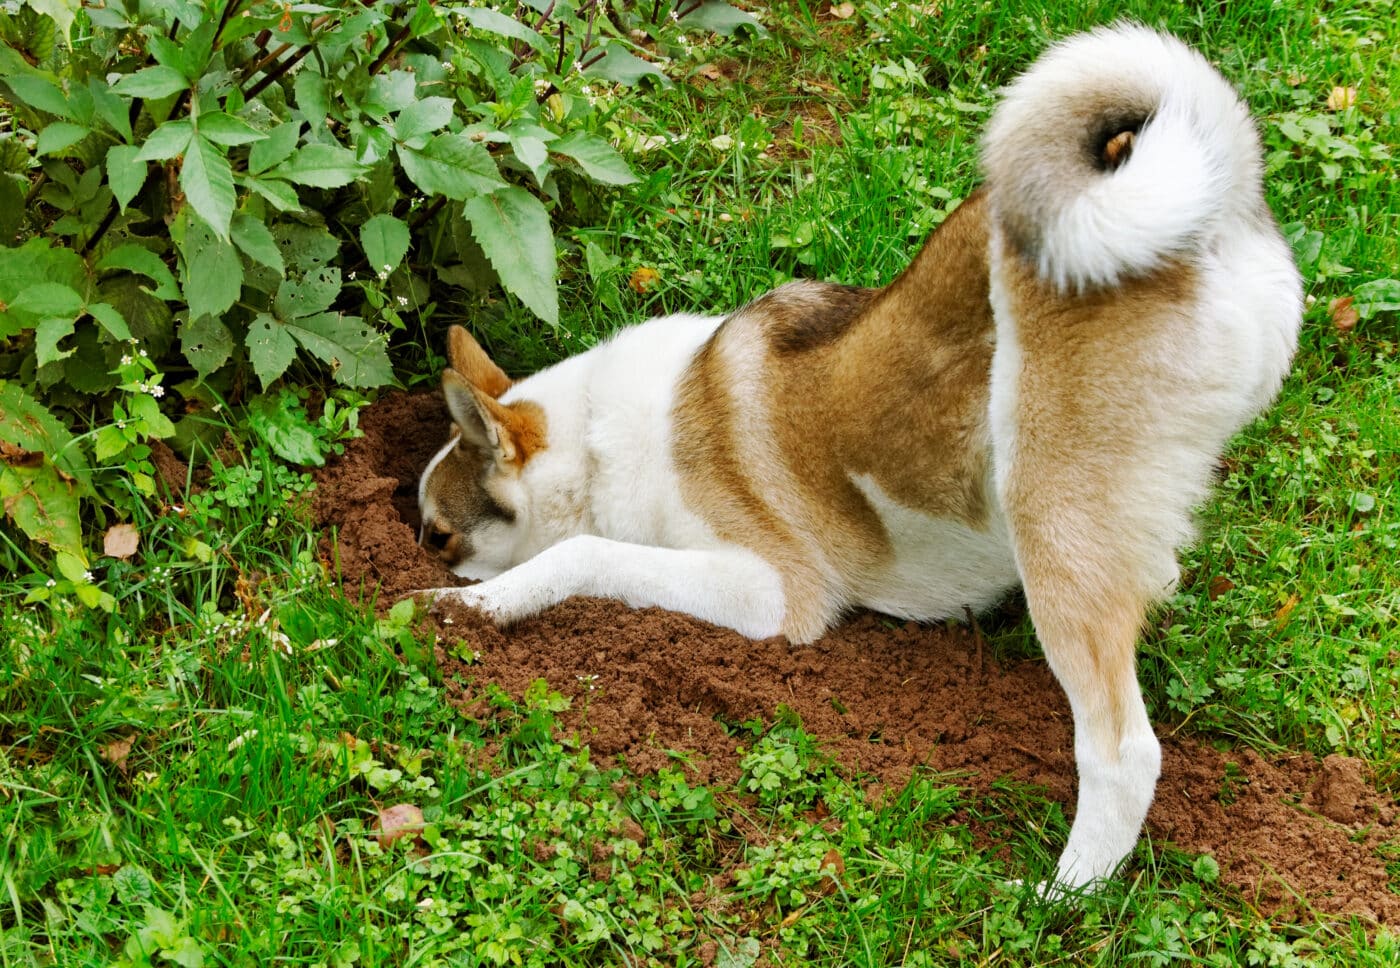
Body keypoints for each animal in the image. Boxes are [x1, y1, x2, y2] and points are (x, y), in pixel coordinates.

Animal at [411, 26, 1299, 890]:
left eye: (437, 535)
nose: (423, 558)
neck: (595, 439)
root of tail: (1208, 203)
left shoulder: (773, 592)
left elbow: (582, 554)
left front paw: (467, 608)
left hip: (1052, 515)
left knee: (1123, 752)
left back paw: (1062, 897)